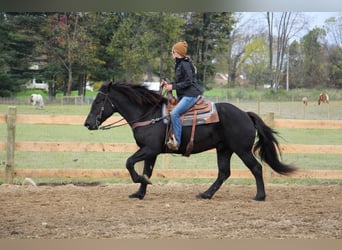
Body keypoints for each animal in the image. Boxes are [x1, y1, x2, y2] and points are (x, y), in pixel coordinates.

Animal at [84, 82, 296, 201]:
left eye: (98, 101)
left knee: (256, 168)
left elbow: (129, 163)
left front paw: (140, 182)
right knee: (223, 173)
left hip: (241, 150)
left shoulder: (149, 149)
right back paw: (206, 194)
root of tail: (245, 114)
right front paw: (140, 193)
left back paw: (260, 196)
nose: (87, 123)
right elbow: (146, 170)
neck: (148, 114)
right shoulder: (151, 152)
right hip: (224, 149)